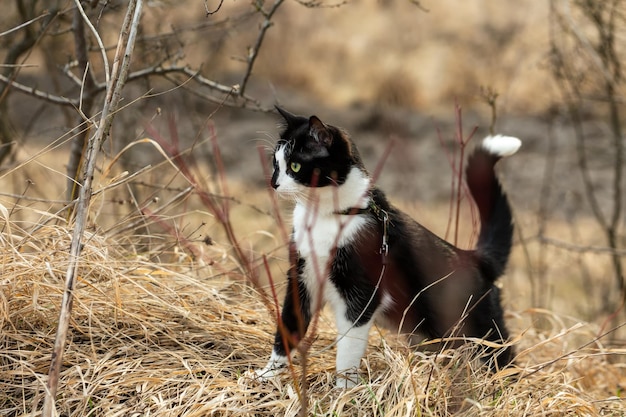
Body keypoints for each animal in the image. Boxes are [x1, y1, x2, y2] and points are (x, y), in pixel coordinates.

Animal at [256, 106, 520, 386]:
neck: (329, 217)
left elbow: (348, 348)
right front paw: (266, 374)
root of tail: (475, 258)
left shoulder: (362, 294)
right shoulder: (301, 277)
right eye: (276, 164)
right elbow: (288, 327)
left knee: (502, 356)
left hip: (482, 328)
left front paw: (345, 388)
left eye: (295, 166)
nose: (273, 183)